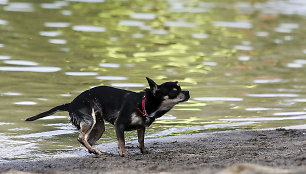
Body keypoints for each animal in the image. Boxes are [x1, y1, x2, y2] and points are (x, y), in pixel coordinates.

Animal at [25, 77, 189, 156]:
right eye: (175, 91)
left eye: (180, 88)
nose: (188, 91)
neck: (143, 102)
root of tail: (71, 104)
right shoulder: (119, 125)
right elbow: (122, 141)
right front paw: (123, 153)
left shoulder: (141, 128)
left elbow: (141, 141)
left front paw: (144, 151)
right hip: (89, 120)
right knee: (81, 137)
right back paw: (94, 151)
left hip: (99, 127)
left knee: (88, 140)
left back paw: (94, 151)